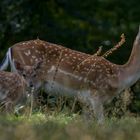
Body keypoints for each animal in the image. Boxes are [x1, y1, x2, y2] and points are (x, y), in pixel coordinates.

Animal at [0, 26, 140, 122]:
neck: (118, 76)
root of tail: (10, 48)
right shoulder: (95, 95)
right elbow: (101, 123)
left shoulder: (85, 100)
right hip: (28, 84)